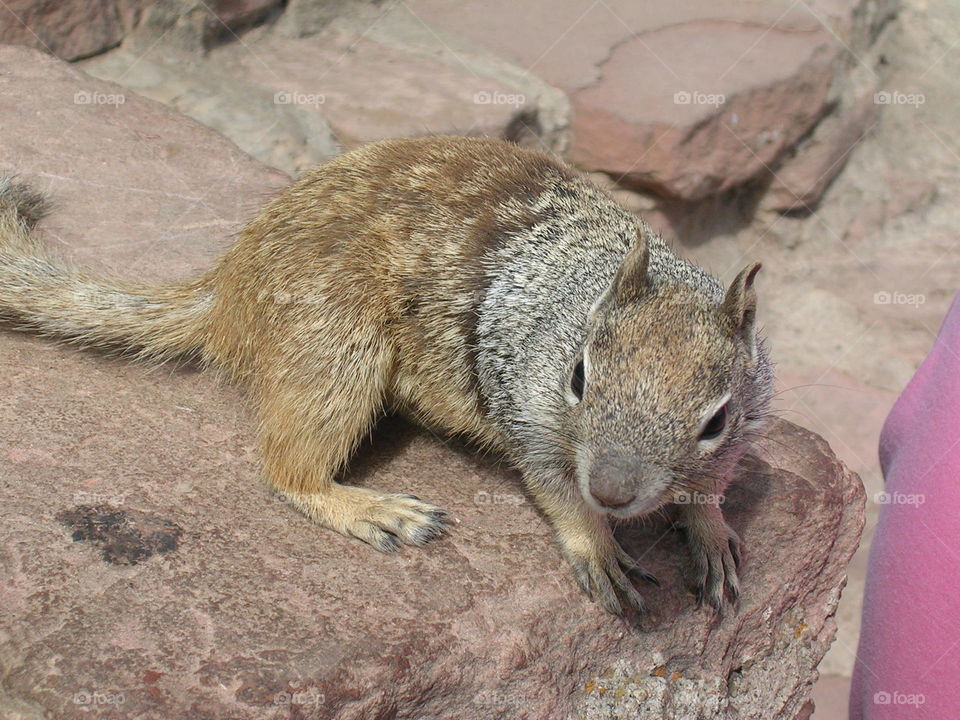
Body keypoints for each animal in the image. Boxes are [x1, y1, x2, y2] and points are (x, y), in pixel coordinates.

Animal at [0, 136, 773, 616]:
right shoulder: (529, 411)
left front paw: (712, 536)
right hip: (336, 353)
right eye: (579, 378)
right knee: (286, 469)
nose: (613, 491)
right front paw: (599, 547)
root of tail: (226, 289)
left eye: (716, 420)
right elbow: (555, 489)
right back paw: (375, 510)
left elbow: (711, 488)